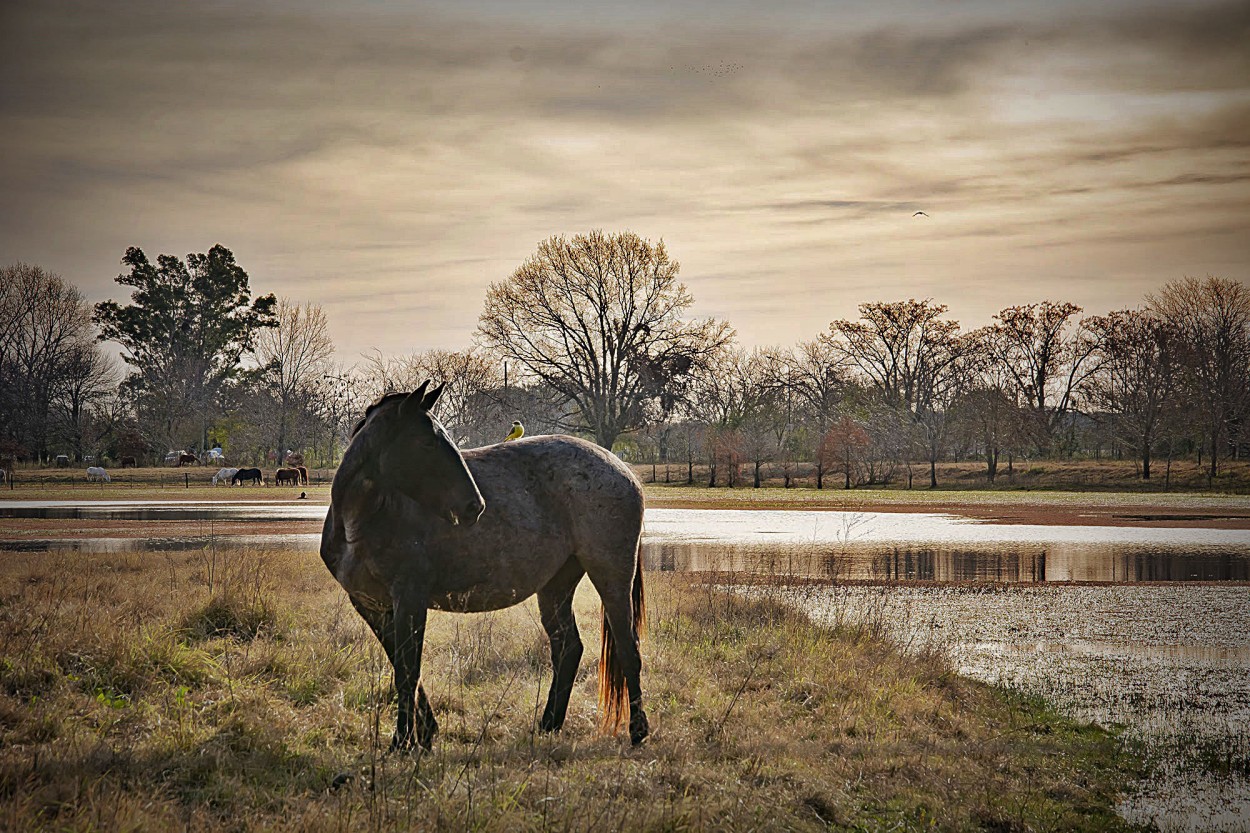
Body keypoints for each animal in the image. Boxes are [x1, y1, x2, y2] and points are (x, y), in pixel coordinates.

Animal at [322, 382, 650, 750]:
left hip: (611, 576)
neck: (360, 521)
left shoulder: (409, 599)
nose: (474, 506)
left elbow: (408, 671)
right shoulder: (371, 605)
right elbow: (402, 666)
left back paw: (638, 730)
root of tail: (622, 469)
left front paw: (402, 741)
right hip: (556, 585)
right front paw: (424, 733)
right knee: (567, 648)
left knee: (628, 648)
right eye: (427, 442)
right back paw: (549, 724)